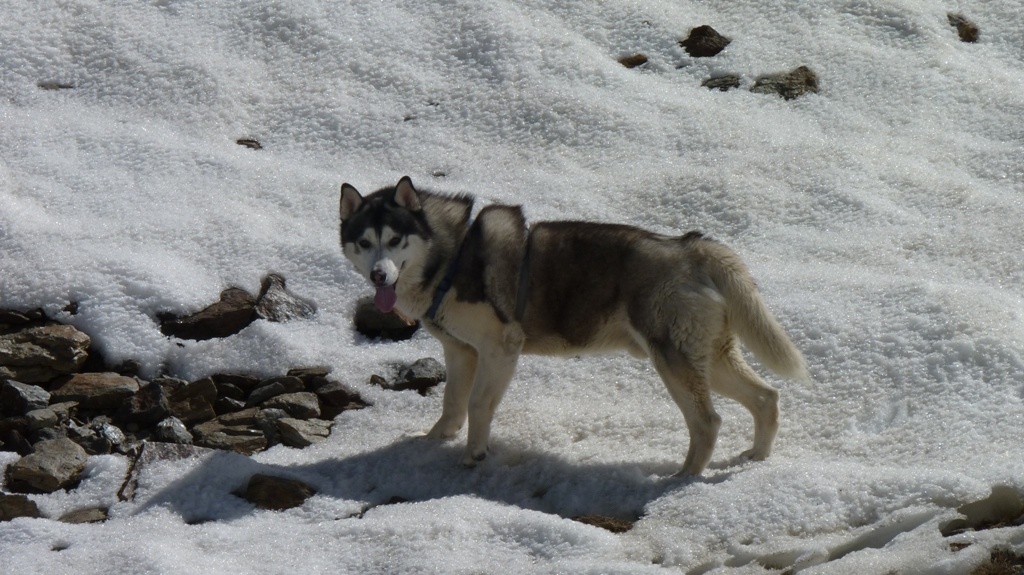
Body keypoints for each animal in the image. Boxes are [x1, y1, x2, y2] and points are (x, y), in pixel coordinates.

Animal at [339, 175, 802, 474]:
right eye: (364, 242)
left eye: (395, 240)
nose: (379, 276)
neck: (449, 258)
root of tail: (692, 248)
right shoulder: (460, 351)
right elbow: (452, 403)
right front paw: (434, 440)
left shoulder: (500, 349)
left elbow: (477, 405)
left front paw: (475, 454)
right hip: (708, 358)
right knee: (766, 398)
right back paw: (756, 458)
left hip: (674, 362)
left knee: (708, 422)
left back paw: (681, 479)